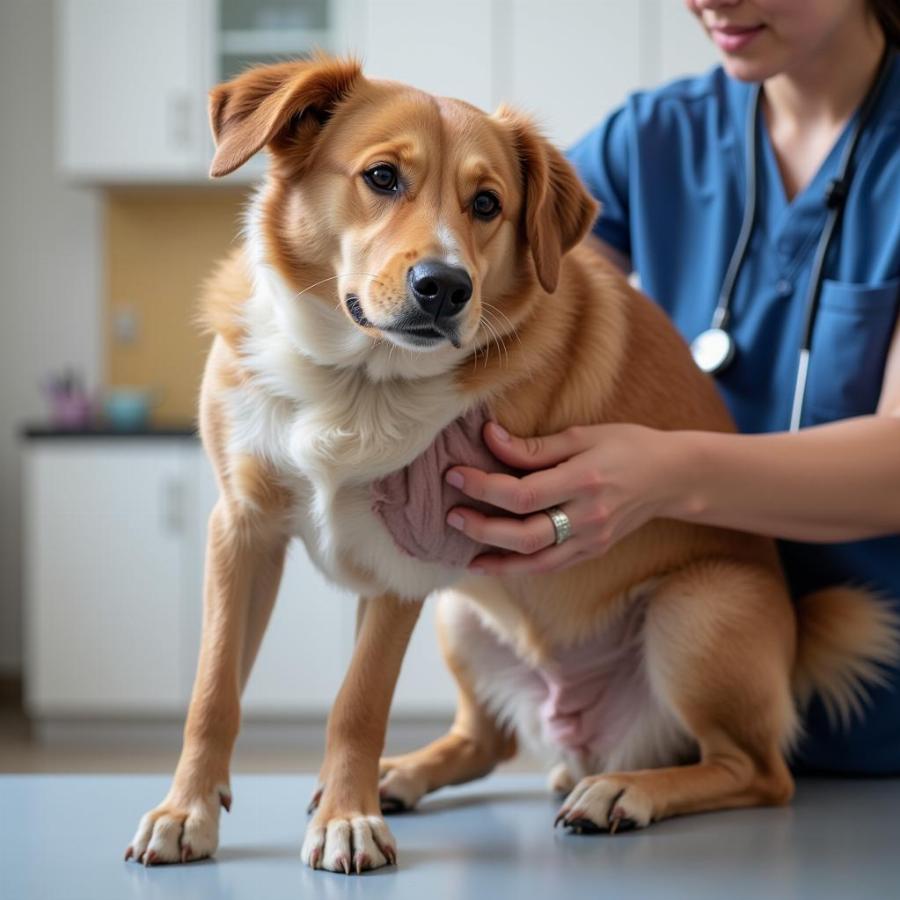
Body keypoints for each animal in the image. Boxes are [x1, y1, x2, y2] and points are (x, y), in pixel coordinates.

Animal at [123, 54, 896, 872]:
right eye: (382, 176)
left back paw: (623, 791)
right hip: (463, 616)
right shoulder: (242, 528)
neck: (360, 380)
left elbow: (358, 705)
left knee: (754, 771)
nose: (445, 286)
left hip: (698, 609)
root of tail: (587, 730)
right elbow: (213, 692)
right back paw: (407, 773)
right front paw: (187, 810)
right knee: (485, 738)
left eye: (487, 203)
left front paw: (347, 821)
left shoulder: (408, 563)